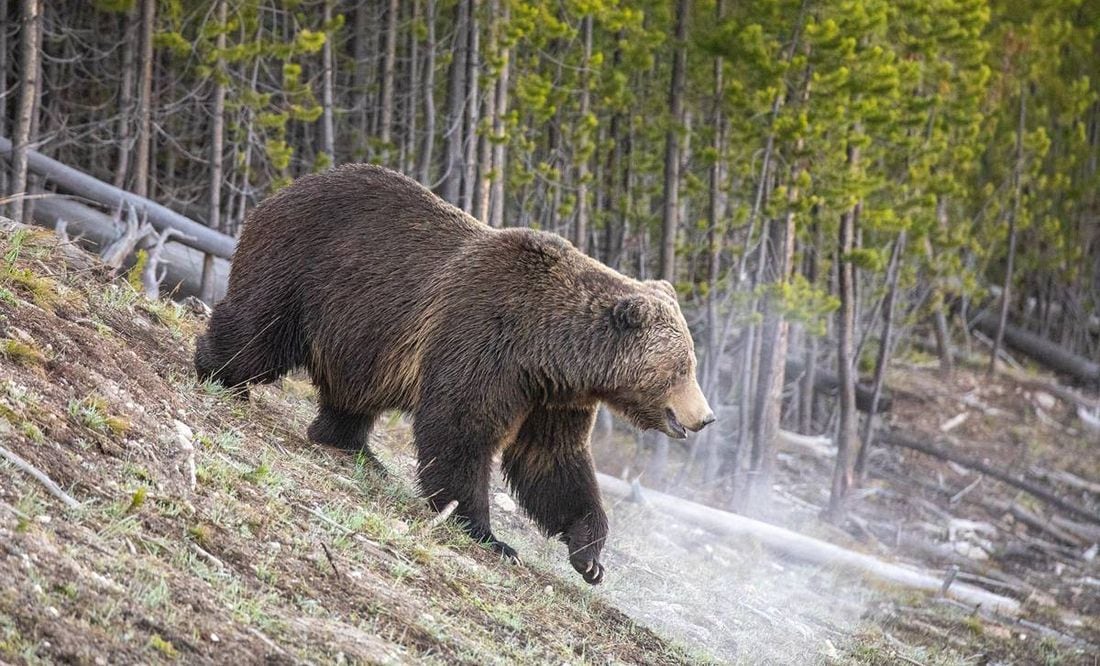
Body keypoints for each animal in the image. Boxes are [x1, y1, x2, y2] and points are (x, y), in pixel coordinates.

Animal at [194, 164, 717, 585]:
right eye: (683, 367)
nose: (706, 417)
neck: (551, 349)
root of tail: (283, 190)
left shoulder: (552, 396)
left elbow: (553, 461)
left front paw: (589, 554)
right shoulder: (486, 340)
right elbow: (461, 428)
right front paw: (487, 533)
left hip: (361, 333)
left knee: (353, 392)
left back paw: (355, 446)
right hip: (304, 268)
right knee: (260, 330)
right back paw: (217, 370)